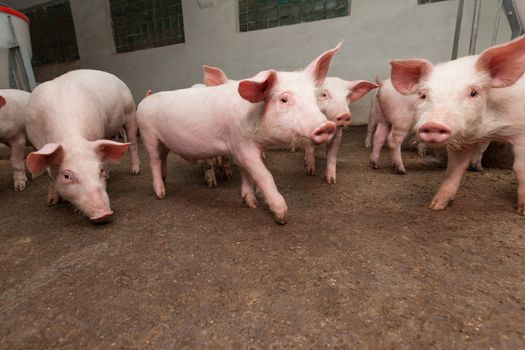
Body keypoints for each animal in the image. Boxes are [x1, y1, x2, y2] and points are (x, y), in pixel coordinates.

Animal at [24, 69, 140, 223]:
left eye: (99, 171)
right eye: (67, 176)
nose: (104, 213)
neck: (72, 139)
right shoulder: (37, 143)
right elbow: (49, 176)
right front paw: (50, 203)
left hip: (130, 110)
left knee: (132, 142)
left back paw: (135, 171)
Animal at [135, 44, 340, 224]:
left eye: (314, 98)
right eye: (284, 99)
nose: (327, 125)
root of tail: (145, 101)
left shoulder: (249, 148)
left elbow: (247, 174)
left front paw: (251, 203)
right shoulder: (242, 145)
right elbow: (264, 175)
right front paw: (282, 216)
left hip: (163, 142)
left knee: (163, 157)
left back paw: (165, 179)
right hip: (148, 134)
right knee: (154, 161)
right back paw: (161, 194)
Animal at [386, 37, 524, 215]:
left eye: (473, 93)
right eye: (423, 95)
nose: (434, 124)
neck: (486, 129)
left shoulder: (520, 133)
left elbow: (519, 169)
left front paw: (522, 211)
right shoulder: (462, 141)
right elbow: (454, 169)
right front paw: (435, 206)